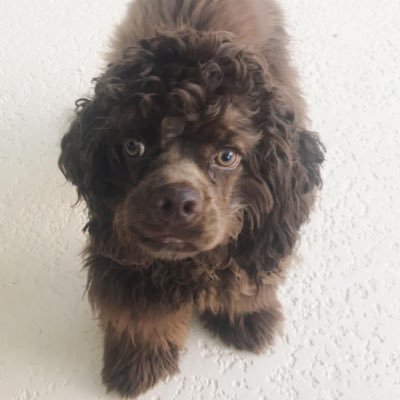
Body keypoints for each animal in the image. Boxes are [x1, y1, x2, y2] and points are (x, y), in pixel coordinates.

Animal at [57, 0, 324, 396]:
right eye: (133, 146)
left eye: (227, 156)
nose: (174, 202)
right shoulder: (123, 258)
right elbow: (141, 319)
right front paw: (138, 365)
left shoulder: (261, 234)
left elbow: (247, 284)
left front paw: (250, 319)